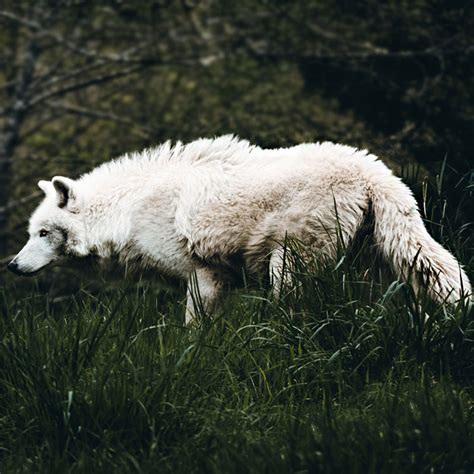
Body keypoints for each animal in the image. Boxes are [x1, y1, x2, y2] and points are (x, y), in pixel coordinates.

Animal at [6, 135, 470, 324]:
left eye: (43, 233)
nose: (11, 265)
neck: (128, 212)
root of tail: (376, 172)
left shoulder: (204, 273)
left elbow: (193, 326)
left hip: (291, 263)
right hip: (374, 260)